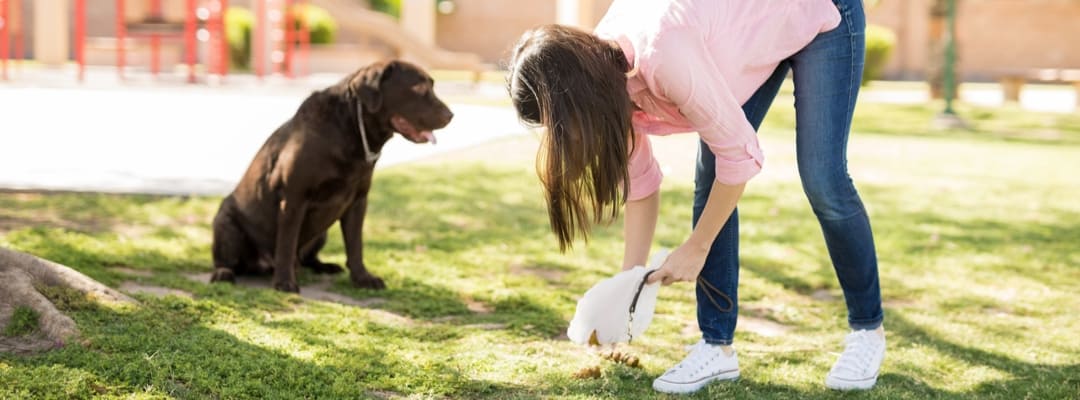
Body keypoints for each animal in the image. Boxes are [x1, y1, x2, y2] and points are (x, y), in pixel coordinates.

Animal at [210, 60, 451, 289]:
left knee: (306, 258)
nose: (451, 115)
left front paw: (362, 278)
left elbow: (355, 246)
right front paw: (284, 282)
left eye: (431, 86)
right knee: (228, 260)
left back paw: (324, 266)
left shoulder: (357, 202)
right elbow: (286, 244)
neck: (350, 129)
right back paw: (224, 273)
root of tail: (262, 264)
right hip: (226, 223)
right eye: (419, 89)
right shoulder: (294, 199)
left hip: (321, 233)